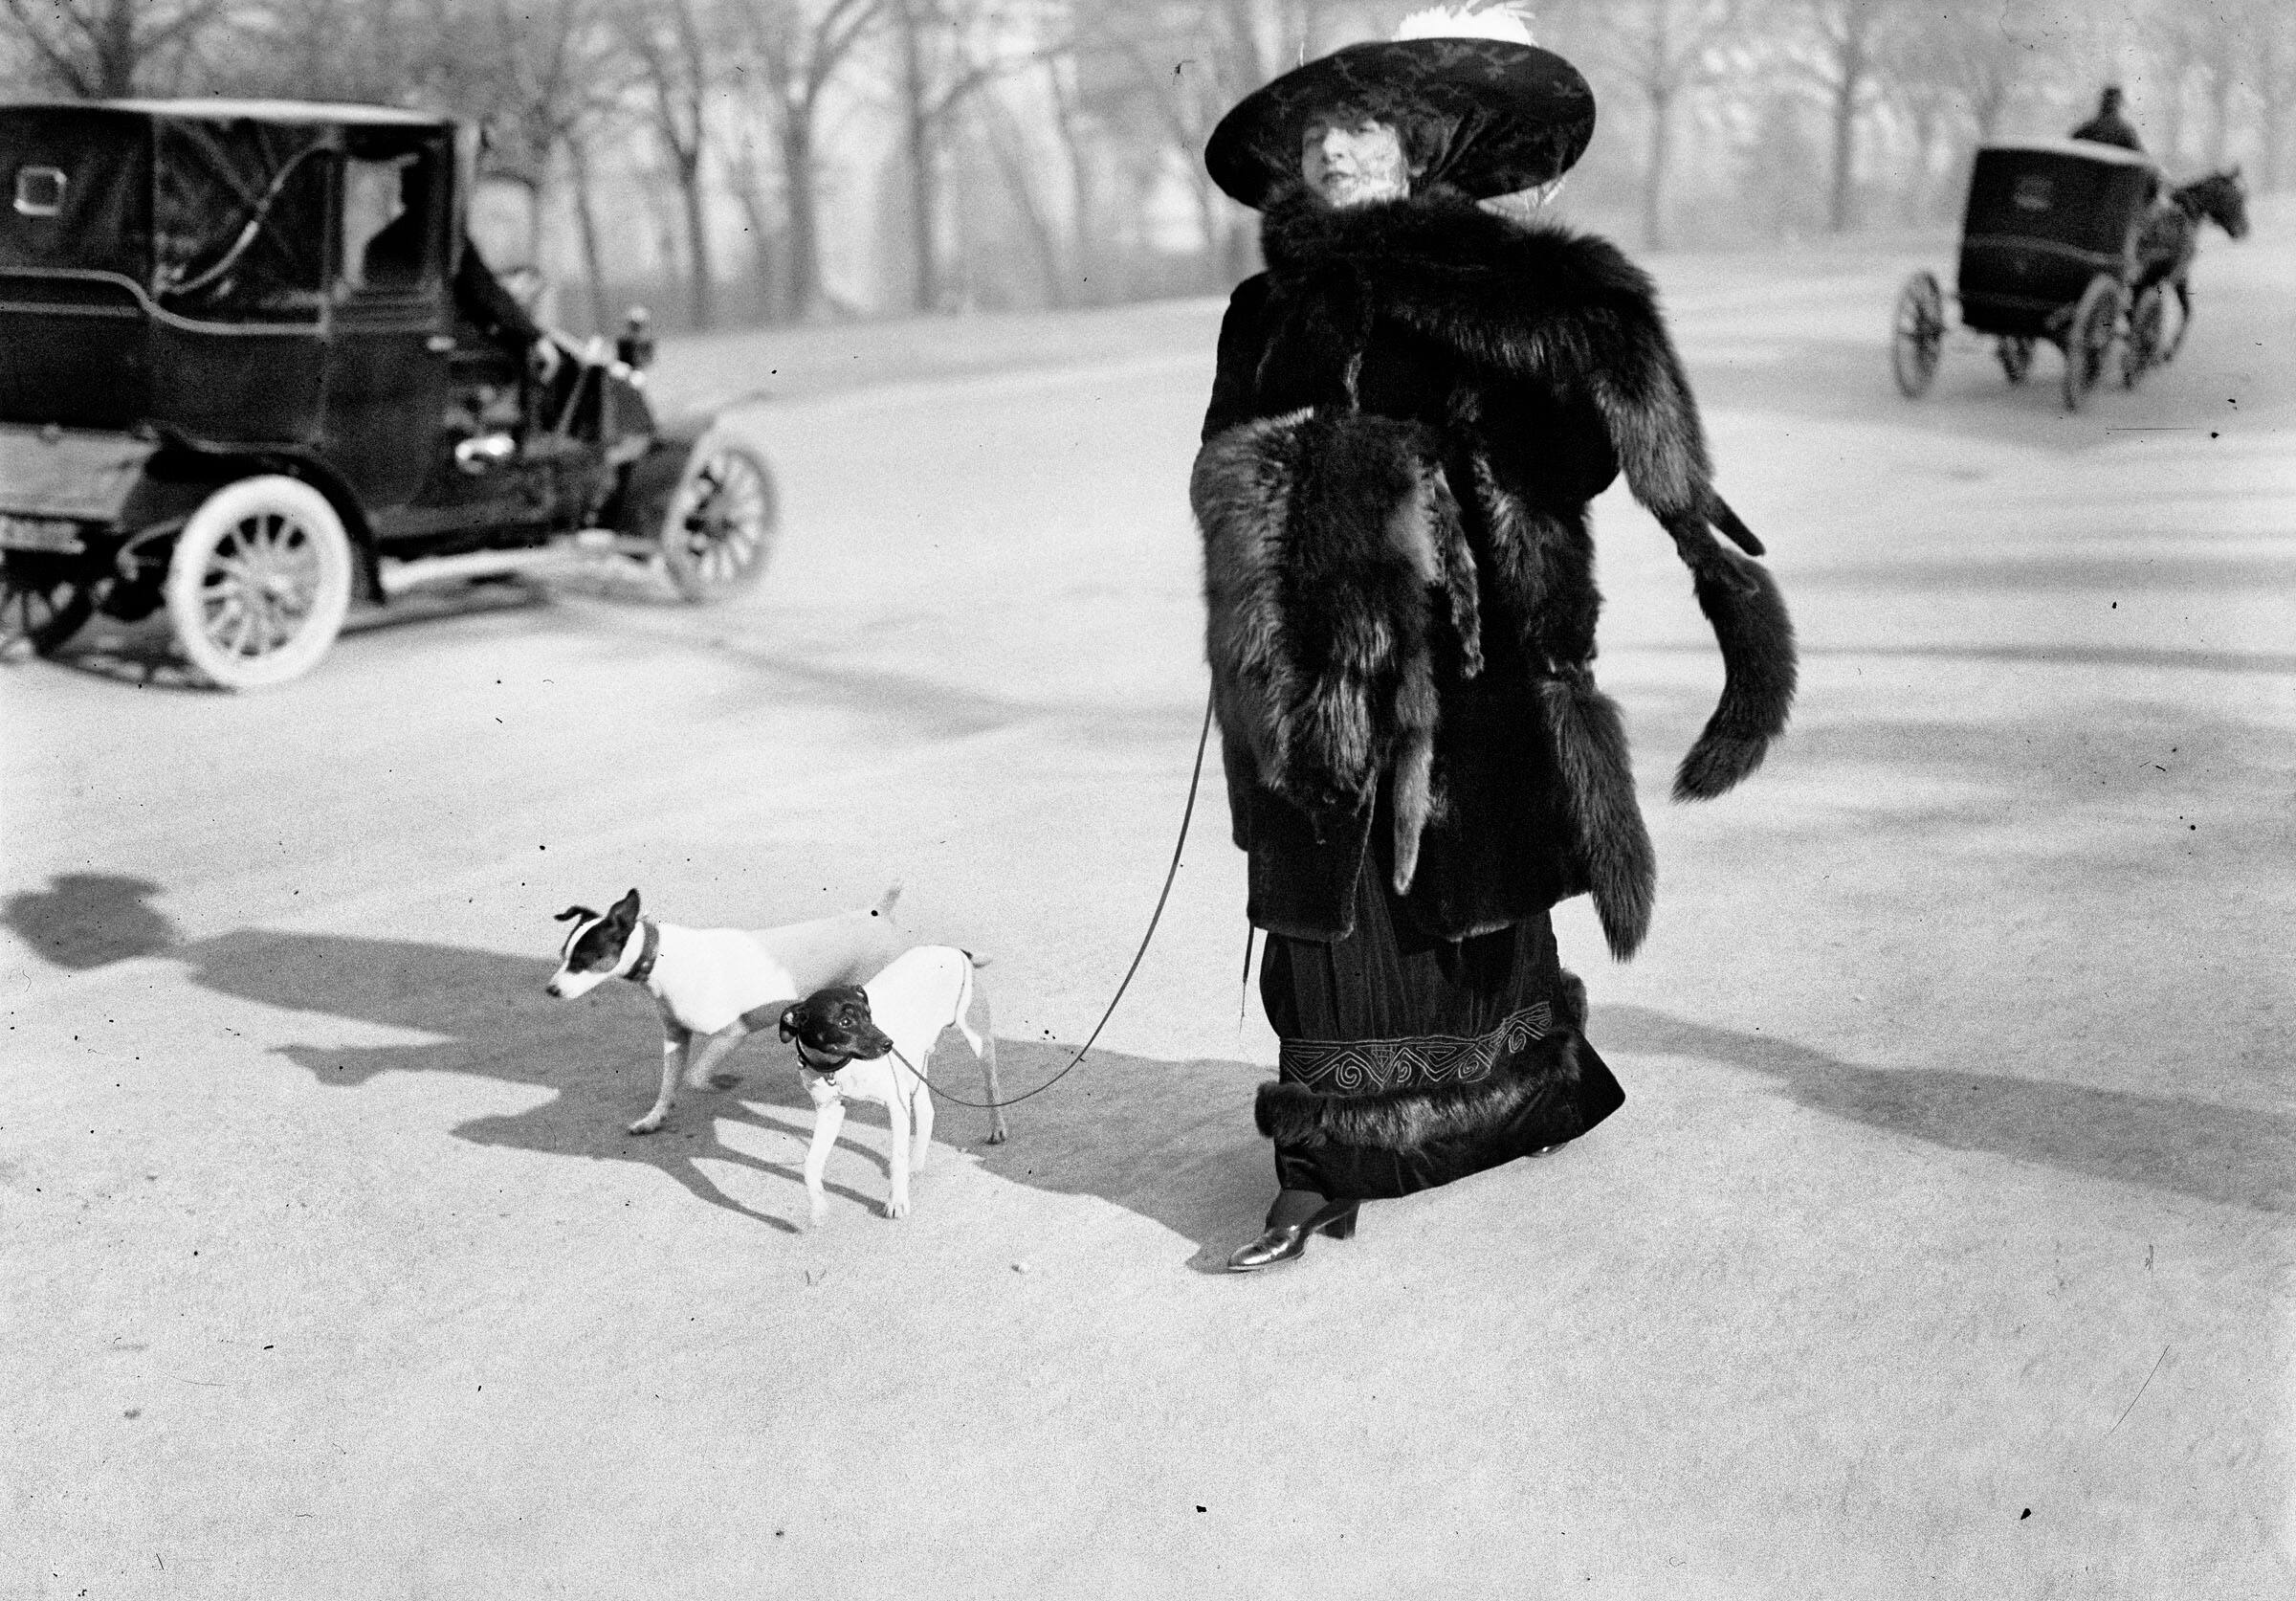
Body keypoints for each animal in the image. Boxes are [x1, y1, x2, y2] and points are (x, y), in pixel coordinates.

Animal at [2130, 165, 2259, 358]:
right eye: (2238, 197)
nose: (2245, 230)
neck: (2187, 212)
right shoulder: (2178, 276)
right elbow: (2187, 311)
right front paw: (2167, 351)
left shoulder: (2148, 283)